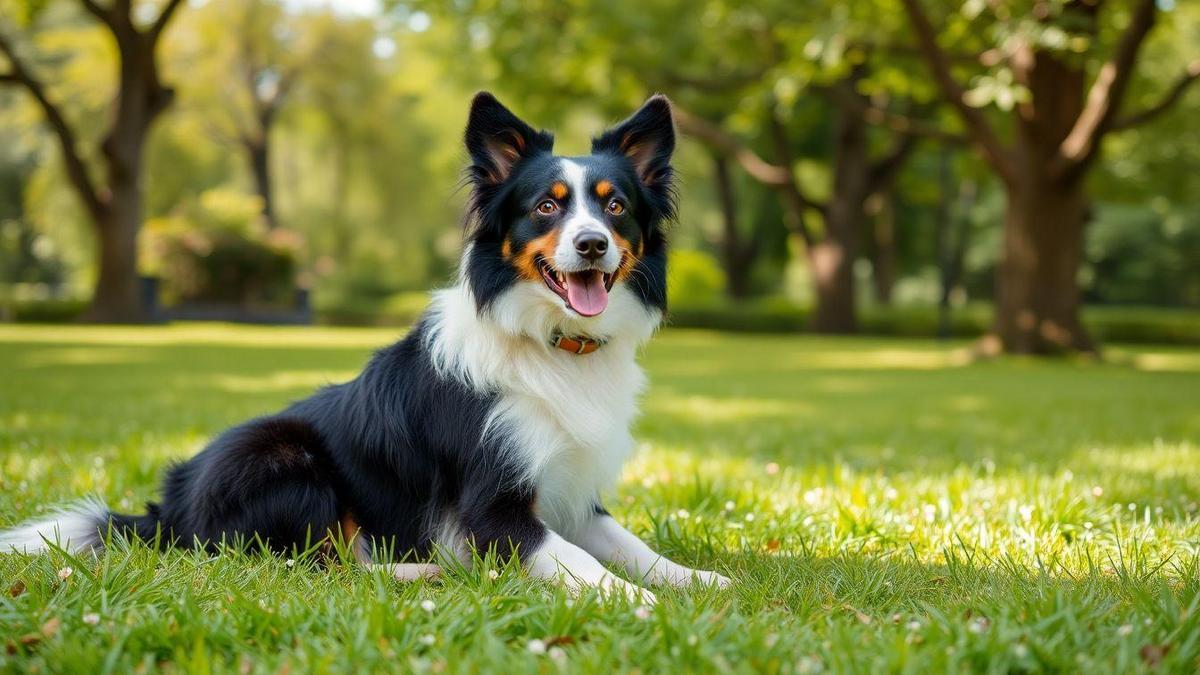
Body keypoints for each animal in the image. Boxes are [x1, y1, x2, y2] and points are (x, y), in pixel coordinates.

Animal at [0, 91, 729, 600]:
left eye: (615, 206)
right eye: (546, 208)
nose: (592, 245)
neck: (549, 341)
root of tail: (168, 510)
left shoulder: (572, 489)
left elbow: (628, 543)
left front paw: (698, 580)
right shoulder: (492, 506)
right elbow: (576, 559)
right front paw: (637, 602)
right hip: (282, 458)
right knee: (314, 563)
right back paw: (417, 570)